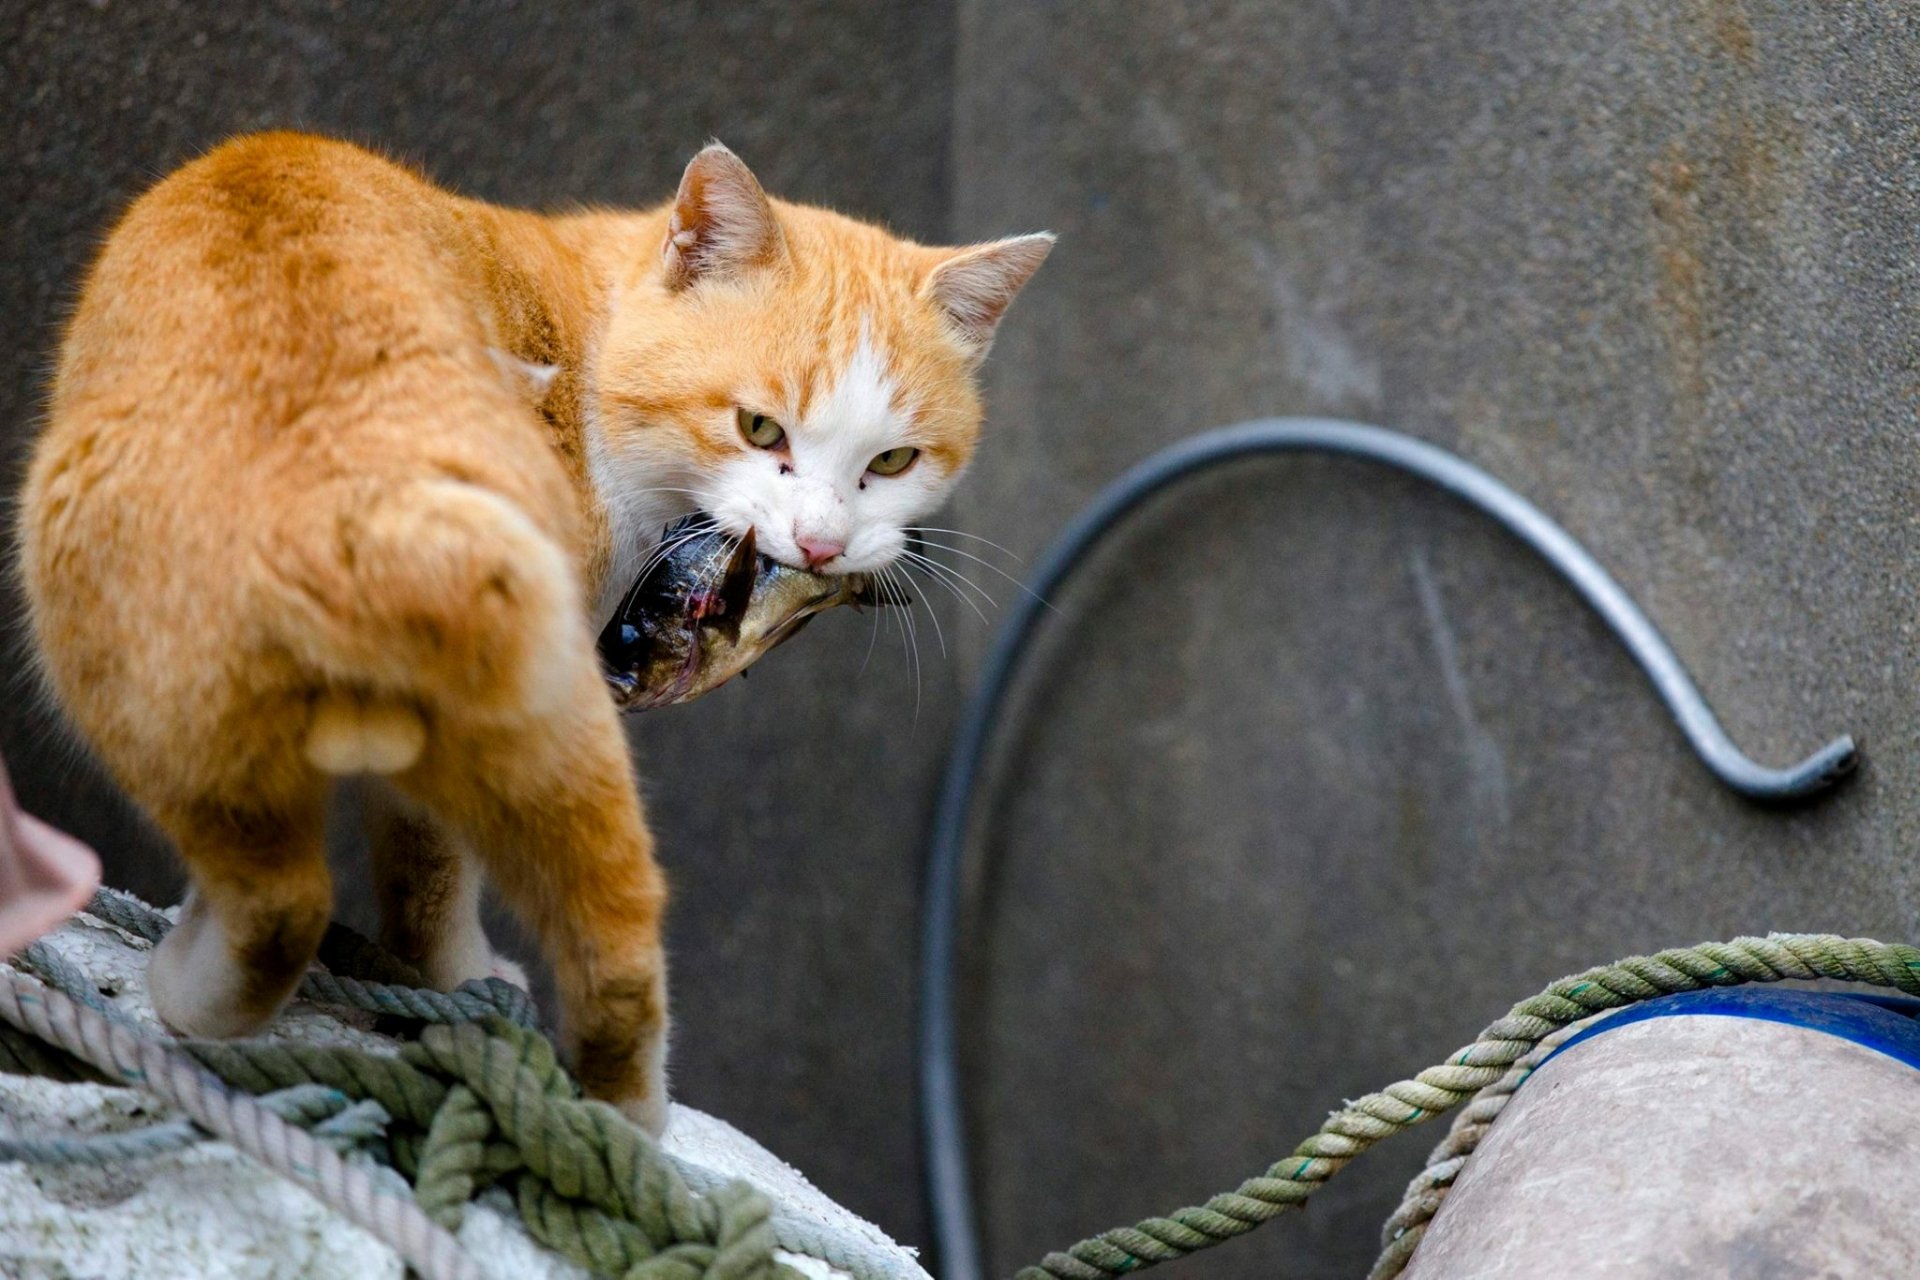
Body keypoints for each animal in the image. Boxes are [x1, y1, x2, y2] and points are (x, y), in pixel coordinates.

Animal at [18, 130, 1052, 1128]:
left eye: (894, 461)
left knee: (290, 895)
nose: (823, 545)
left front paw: (447, 977)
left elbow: (424, 868)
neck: (590, 351)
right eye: (760, 429)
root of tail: (344, 453)